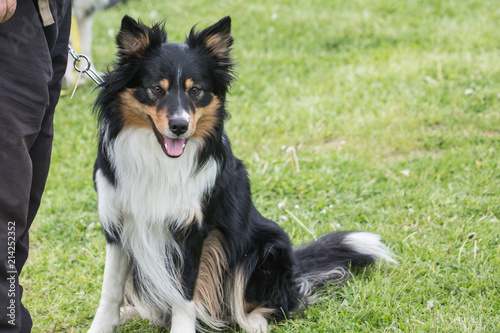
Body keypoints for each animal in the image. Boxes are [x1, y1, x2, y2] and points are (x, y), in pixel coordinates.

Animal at [88, 15, 396, 332]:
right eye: (156, 89)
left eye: (195, 90)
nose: (180, 126)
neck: (158, 159)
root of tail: (295, 272)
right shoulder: (118, 225)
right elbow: (110, 290)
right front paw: (103, 325)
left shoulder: (194, 231)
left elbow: (184, 295)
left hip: (265, 247)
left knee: (269, 305)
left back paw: (255, 322)